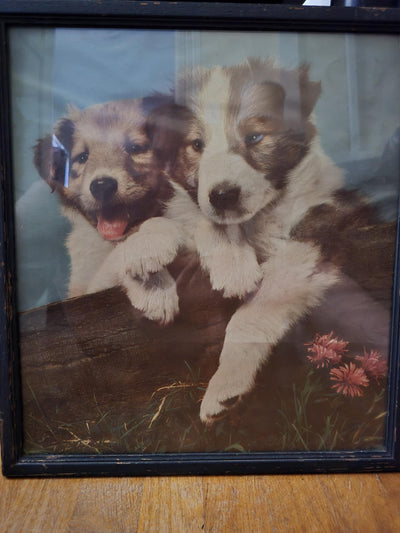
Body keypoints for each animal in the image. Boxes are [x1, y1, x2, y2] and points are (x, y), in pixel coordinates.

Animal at [33, 97, 185, 322]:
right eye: (82, 157)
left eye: (135, 148)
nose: (102, 186)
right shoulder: (83, 293)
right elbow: (114, 259)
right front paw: (154, 287)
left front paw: (147, 246)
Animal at [172, 59, 372, 424]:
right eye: (197, 145)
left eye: (254, 137)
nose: (222, 195)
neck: (261, 217)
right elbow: (203, 219)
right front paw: (233, 268)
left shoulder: (315, 232)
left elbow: (251, 314)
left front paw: (225, 386)